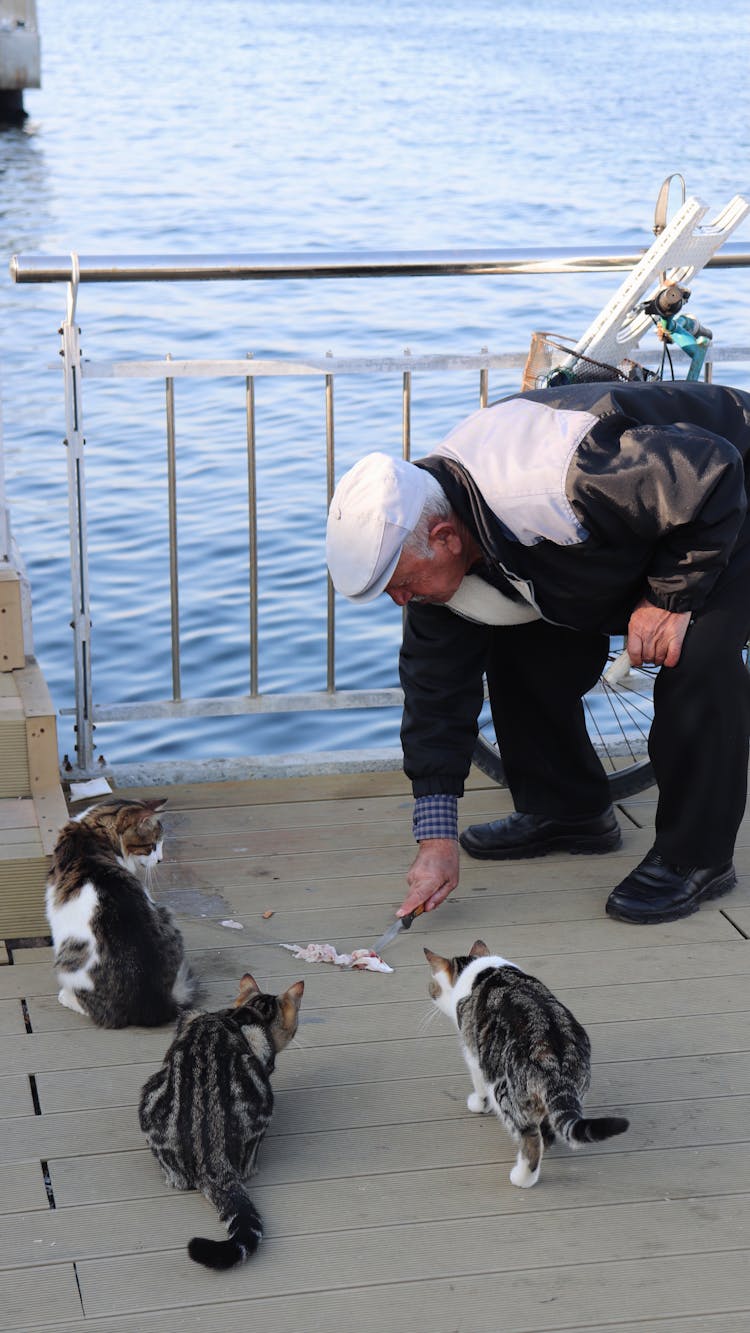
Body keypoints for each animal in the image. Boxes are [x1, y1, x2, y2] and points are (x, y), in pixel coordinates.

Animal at [45, 794, 195, 1023]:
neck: (92, 829)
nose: (160, 859)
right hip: (166, 916)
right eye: (152, 845)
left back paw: (67, 996)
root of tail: (153, 1003)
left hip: (67, 958)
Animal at [426, 938, 631, 1189]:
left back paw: (521, 1178)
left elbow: (478, 1085)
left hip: (506, 1091)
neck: (480, 969)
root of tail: (554, 1059)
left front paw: (478, 1104)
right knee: (548, 1133)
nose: (431, 992)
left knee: (532, 1140)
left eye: (433, 986)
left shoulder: (473, 1054)